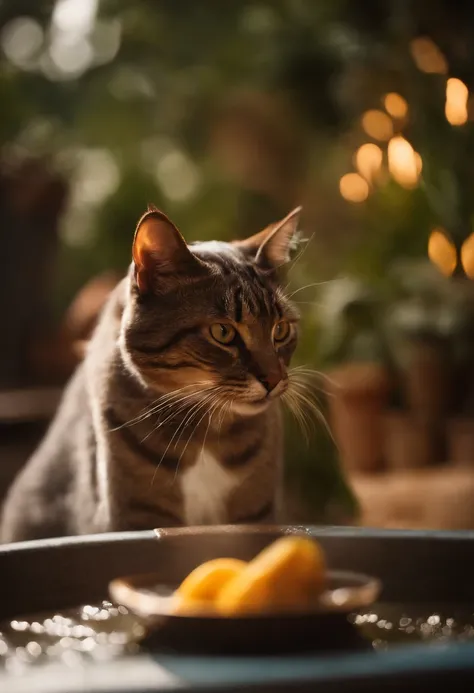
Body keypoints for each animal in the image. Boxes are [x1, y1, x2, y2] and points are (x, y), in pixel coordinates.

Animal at [0, 205, 300, 540]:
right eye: (223, 332)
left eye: (281, 330)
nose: (274, 379)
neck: (207, 432)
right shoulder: (134, 515)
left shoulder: (257, 515)